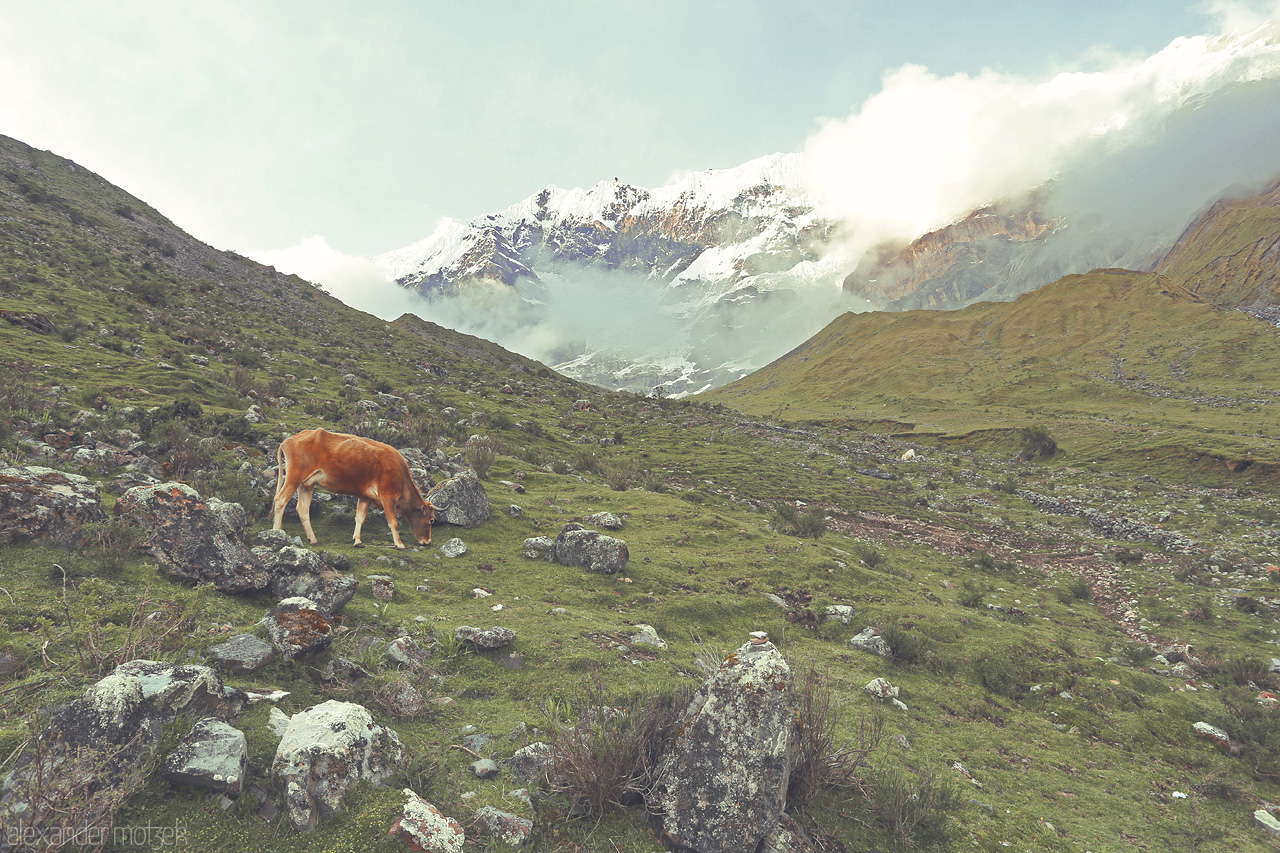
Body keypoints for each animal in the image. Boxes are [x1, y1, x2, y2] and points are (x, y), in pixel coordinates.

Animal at [271, 427, 435, 548]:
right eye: (431, 520)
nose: (427, 541)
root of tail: (288, 440)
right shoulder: (388, 497)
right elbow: (393, 521)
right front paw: (399, 544)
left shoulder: (365, 497)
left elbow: (359, 518)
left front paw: (357, 540)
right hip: (294, 477)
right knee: (280, 500)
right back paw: (277, 532)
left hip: (306, 485)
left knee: (303, 510)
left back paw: (313, 539)